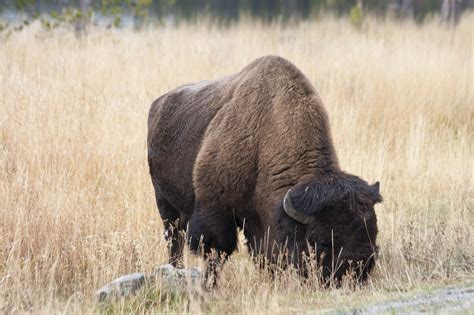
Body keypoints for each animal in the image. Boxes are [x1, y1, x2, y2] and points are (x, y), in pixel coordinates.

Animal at [148, 55, 382, 288]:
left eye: (373, 233)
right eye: (322, 242)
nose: (356, 273)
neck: (264, 137)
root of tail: (158, 103)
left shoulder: (259, 222)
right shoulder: (215, 210)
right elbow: (217, 252)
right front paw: (210, 285)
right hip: (165, 203)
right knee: (174, 239)